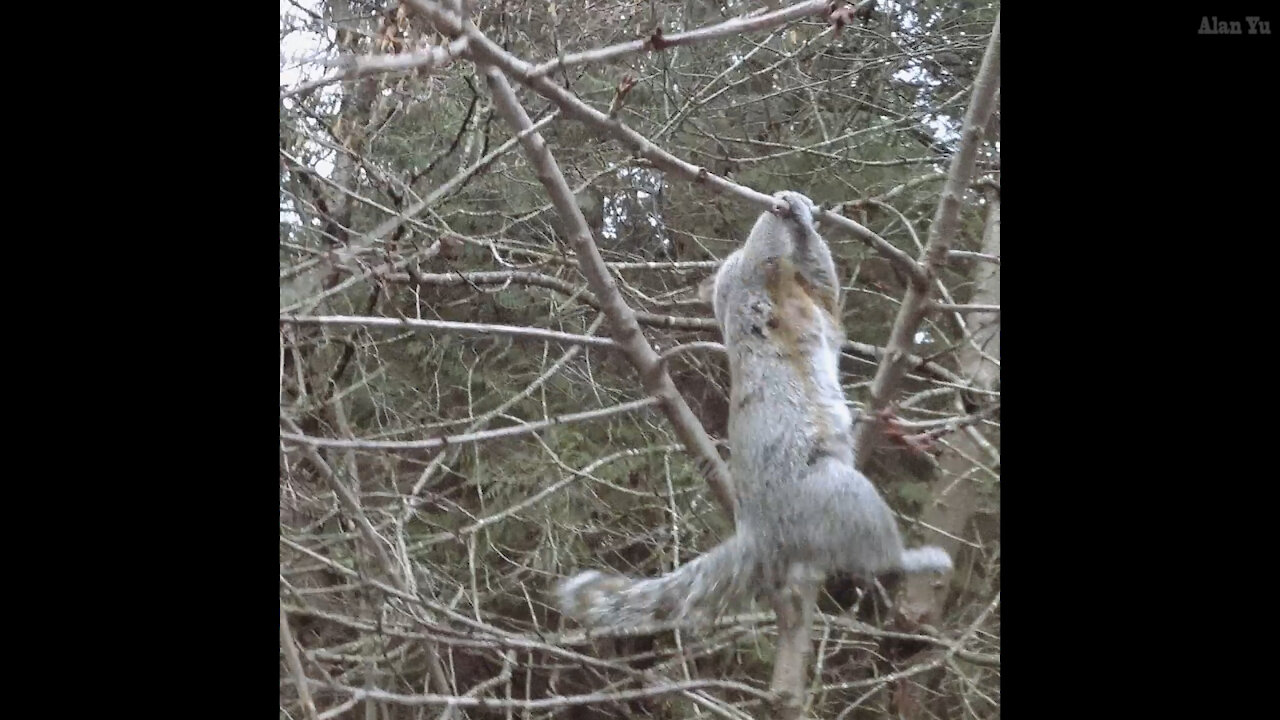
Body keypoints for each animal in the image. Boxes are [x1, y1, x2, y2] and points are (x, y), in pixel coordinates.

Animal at [552, 190, 952, 627]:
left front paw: (801, 219)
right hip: (835, 494)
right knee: (876, 556)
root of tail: (760, 535)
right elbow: (792, 268)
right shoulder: (767, 290)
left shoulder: (804, 302)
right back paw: (912, 559)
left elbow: (823, 285)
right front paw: (790, 214)